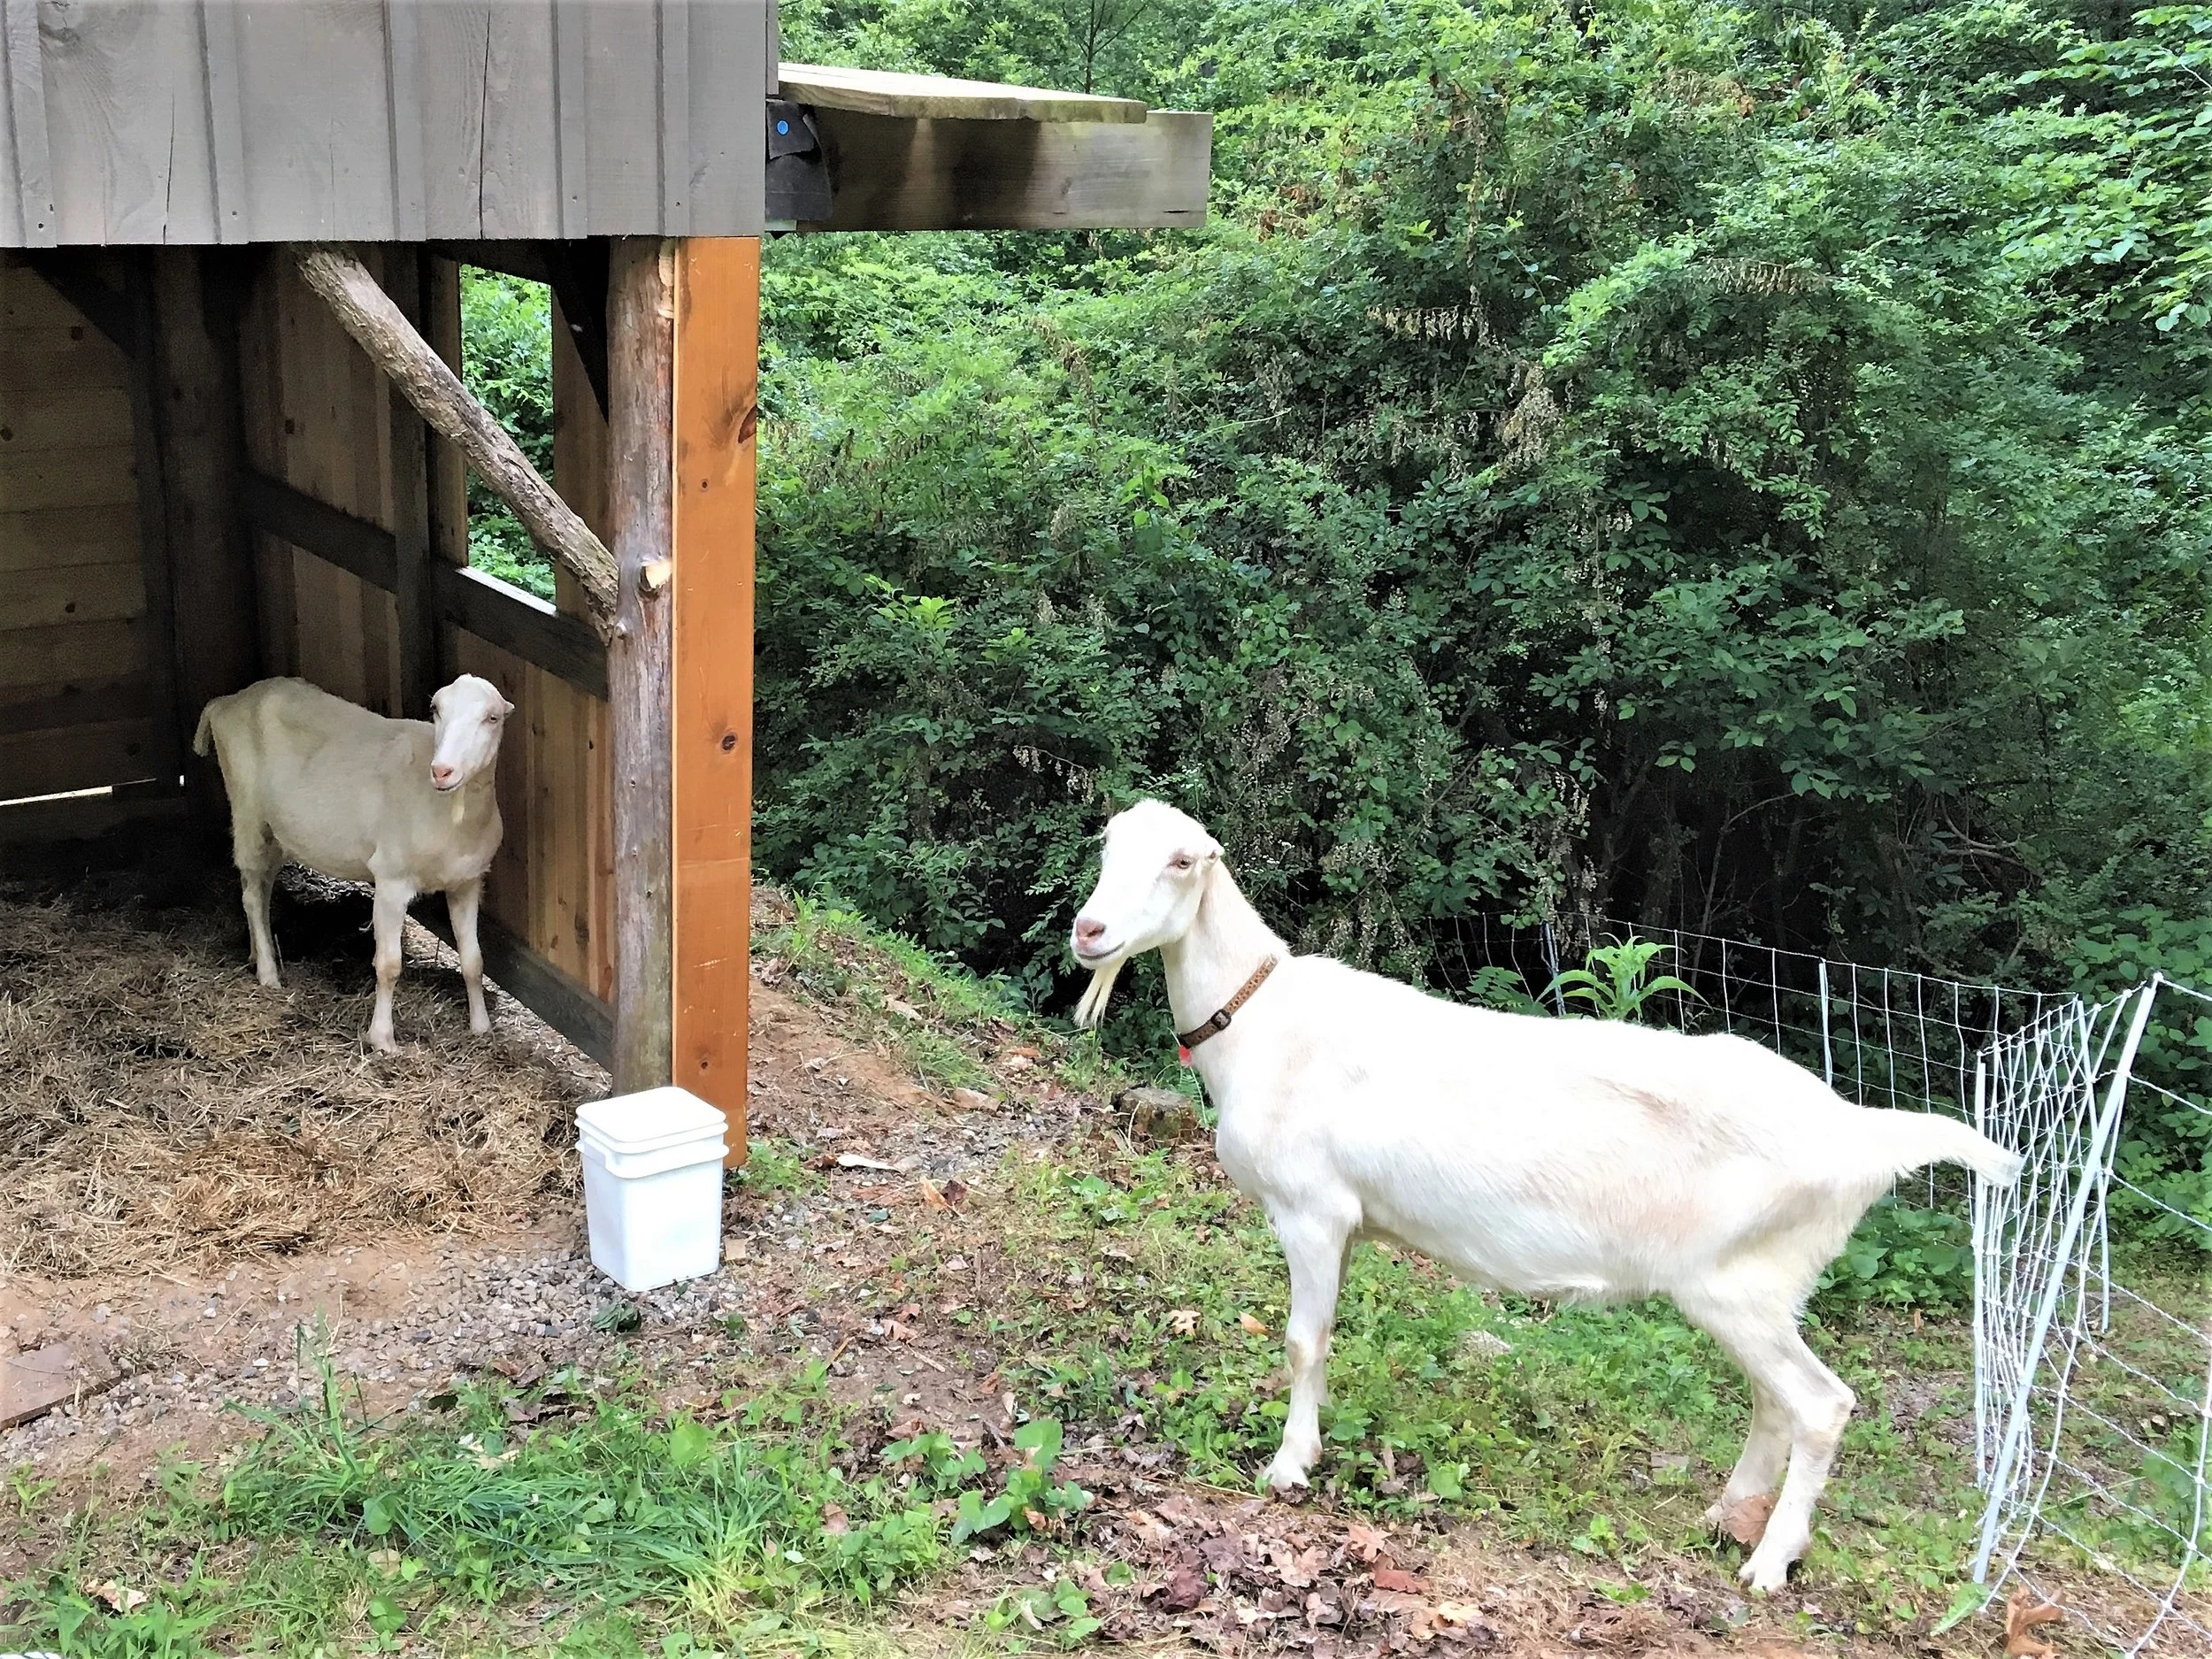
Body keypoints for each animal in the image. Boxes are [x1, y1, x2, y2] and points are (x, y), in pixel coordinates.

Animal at [193, 674, 513, 1054]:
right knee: (252, 896)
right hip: (246, 808)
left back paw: (260, 954)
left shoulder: (466, 883)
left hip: (276, 828)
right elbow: (388, 964)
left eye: (492, 718)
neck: (451, 810)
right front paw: (383, 1040)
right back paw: (269, 975)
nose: (442, 771)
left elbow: (473, 961)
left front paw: (481, 1028)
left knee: (261, 886)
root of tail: (226, 701)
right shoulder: (391, 878)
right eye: (436, 709)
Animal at [1070, 799, 2022, 1592]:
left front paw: (1289, 1464)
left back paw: (1769, 1563)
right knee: (1774, 1401)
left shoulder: (1312, 1209)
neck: (1262, 1023)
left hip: (1741, 1283)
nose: (1089, 929)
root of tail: (1861, 1132)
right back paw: (1726, 1518)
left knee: (1821, 1406)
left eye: (1181, 861)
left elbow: (1305, 1343)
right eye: (1107, 847)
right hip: (1760, 1288)